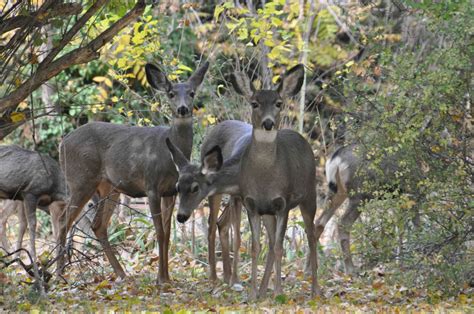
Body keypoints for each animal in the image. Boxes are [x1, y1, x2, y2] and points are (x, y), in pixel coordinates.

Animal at [56, 60, 208, 284]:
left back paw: (121, 273)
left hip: (109, 188)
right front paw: (160, 278)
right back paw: (59, 274)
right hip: (81, 180)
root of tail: (62, 143)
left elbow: (167, 233)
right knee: (63, 221)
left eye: (191, 93)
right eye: (171, 93)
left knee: (98, 225)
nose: (182, 109)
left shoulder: (171, 191)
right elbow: (159, 231)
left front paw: (167, 277)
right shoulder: (151, 185)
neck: (168, 155)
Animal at [165, 119, 252, 284]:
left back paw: (226, 276)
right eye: (177, 187)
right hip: (217, 193)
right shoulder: (236, 196)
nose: (181, 216)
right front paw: (236, 280)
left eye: (195, 188)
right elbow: (237, 239)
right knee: (212, 225)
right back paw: (215, 277)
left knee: (221, 222)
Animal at [229, 64, 320, 300]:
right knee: (270, 244)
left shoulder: (283, 203)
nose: (268, 123)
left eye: (279, 103)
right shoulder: (251, 204)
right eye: (255, 103)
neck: (265, 178)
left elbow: (280, 247)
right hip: (268, 212)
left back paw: (315, 290)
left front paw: (279, 291)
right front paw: (252, 293)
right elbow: (256, 247)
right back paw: (262, 291)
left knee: (312, 236)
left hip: (310, 195)